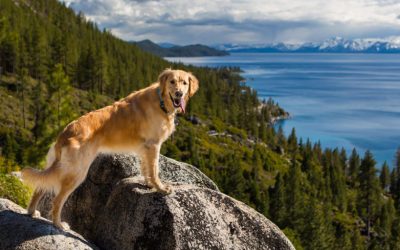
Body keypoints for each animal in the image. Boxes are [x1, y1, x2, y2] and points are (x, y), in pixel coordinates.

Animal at [21, 69, 199, 230]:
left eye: (184, 83)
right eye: (172, 82)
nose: (179, 94)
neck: (161, 101)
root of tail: (64, 134)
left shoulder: (145, 149)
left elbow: (146, 169)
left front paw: (149, 184)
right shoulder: (153, 145)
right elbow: (154, 170)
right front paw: (160, 188)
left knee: (40, 188)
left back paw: (32, 212)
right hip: (77, 173)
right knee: (57, 200)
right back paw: (59, 224)